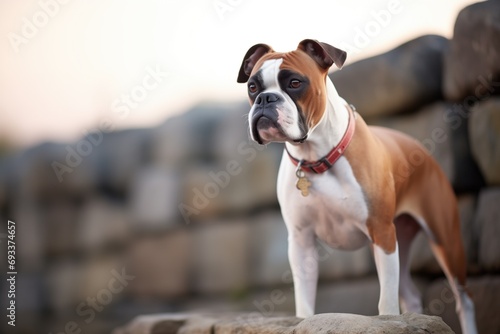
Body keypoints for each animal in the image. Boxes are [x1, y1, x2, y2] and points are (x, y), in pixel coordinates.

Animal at [237, 39, 476, 334]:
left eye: (294, 83)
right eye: (252, 87)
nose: (265, 99)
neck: (316, 157)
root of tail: (421, 150)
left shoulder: (382, 232)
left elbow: (387, 303)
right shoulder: (301, 242)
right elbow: (304, 300)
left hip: (444, 241)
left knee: (464, 299)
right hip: (400, 240)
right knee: (410, 293)